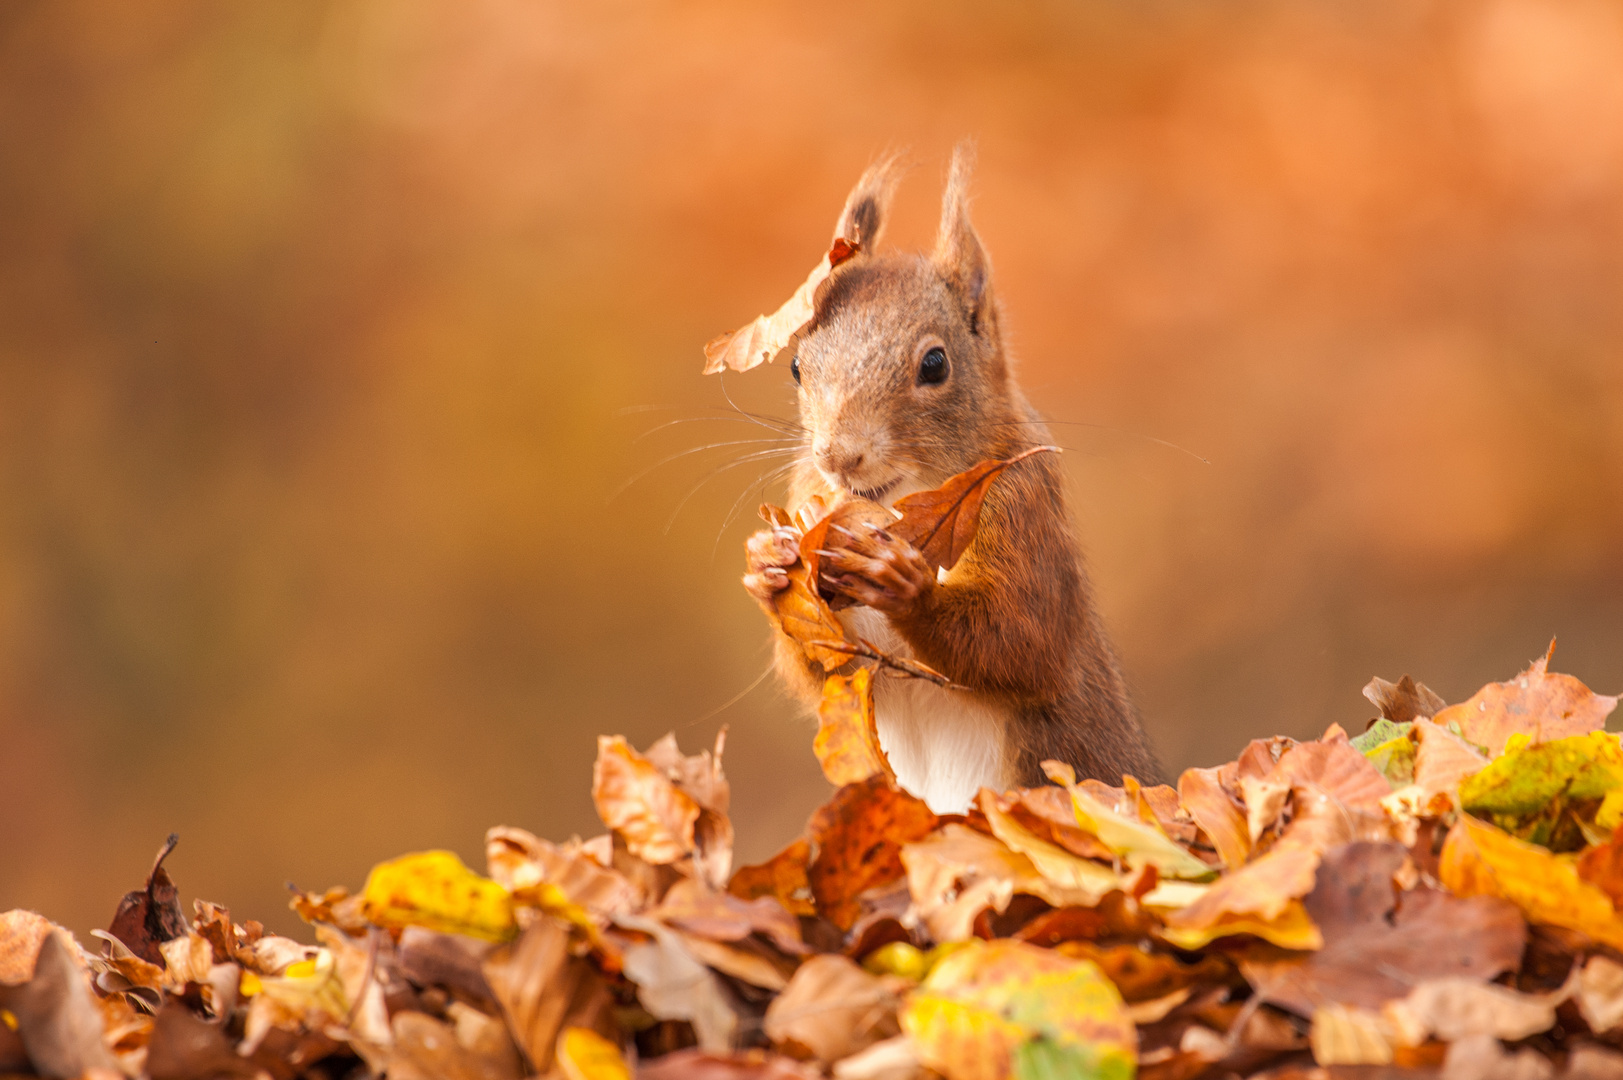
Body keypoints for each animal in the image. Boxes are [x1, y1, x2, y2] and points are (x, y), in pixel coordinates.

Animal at [743, 149, 1162, 808]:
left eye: (935, 364)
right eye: (795, 366)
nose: (838, 457)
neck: (896, 506)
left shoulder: (1024, 505)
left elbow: (1024, 640)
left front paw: (904, 586)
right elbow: (823, 669)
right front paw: (767, 563)